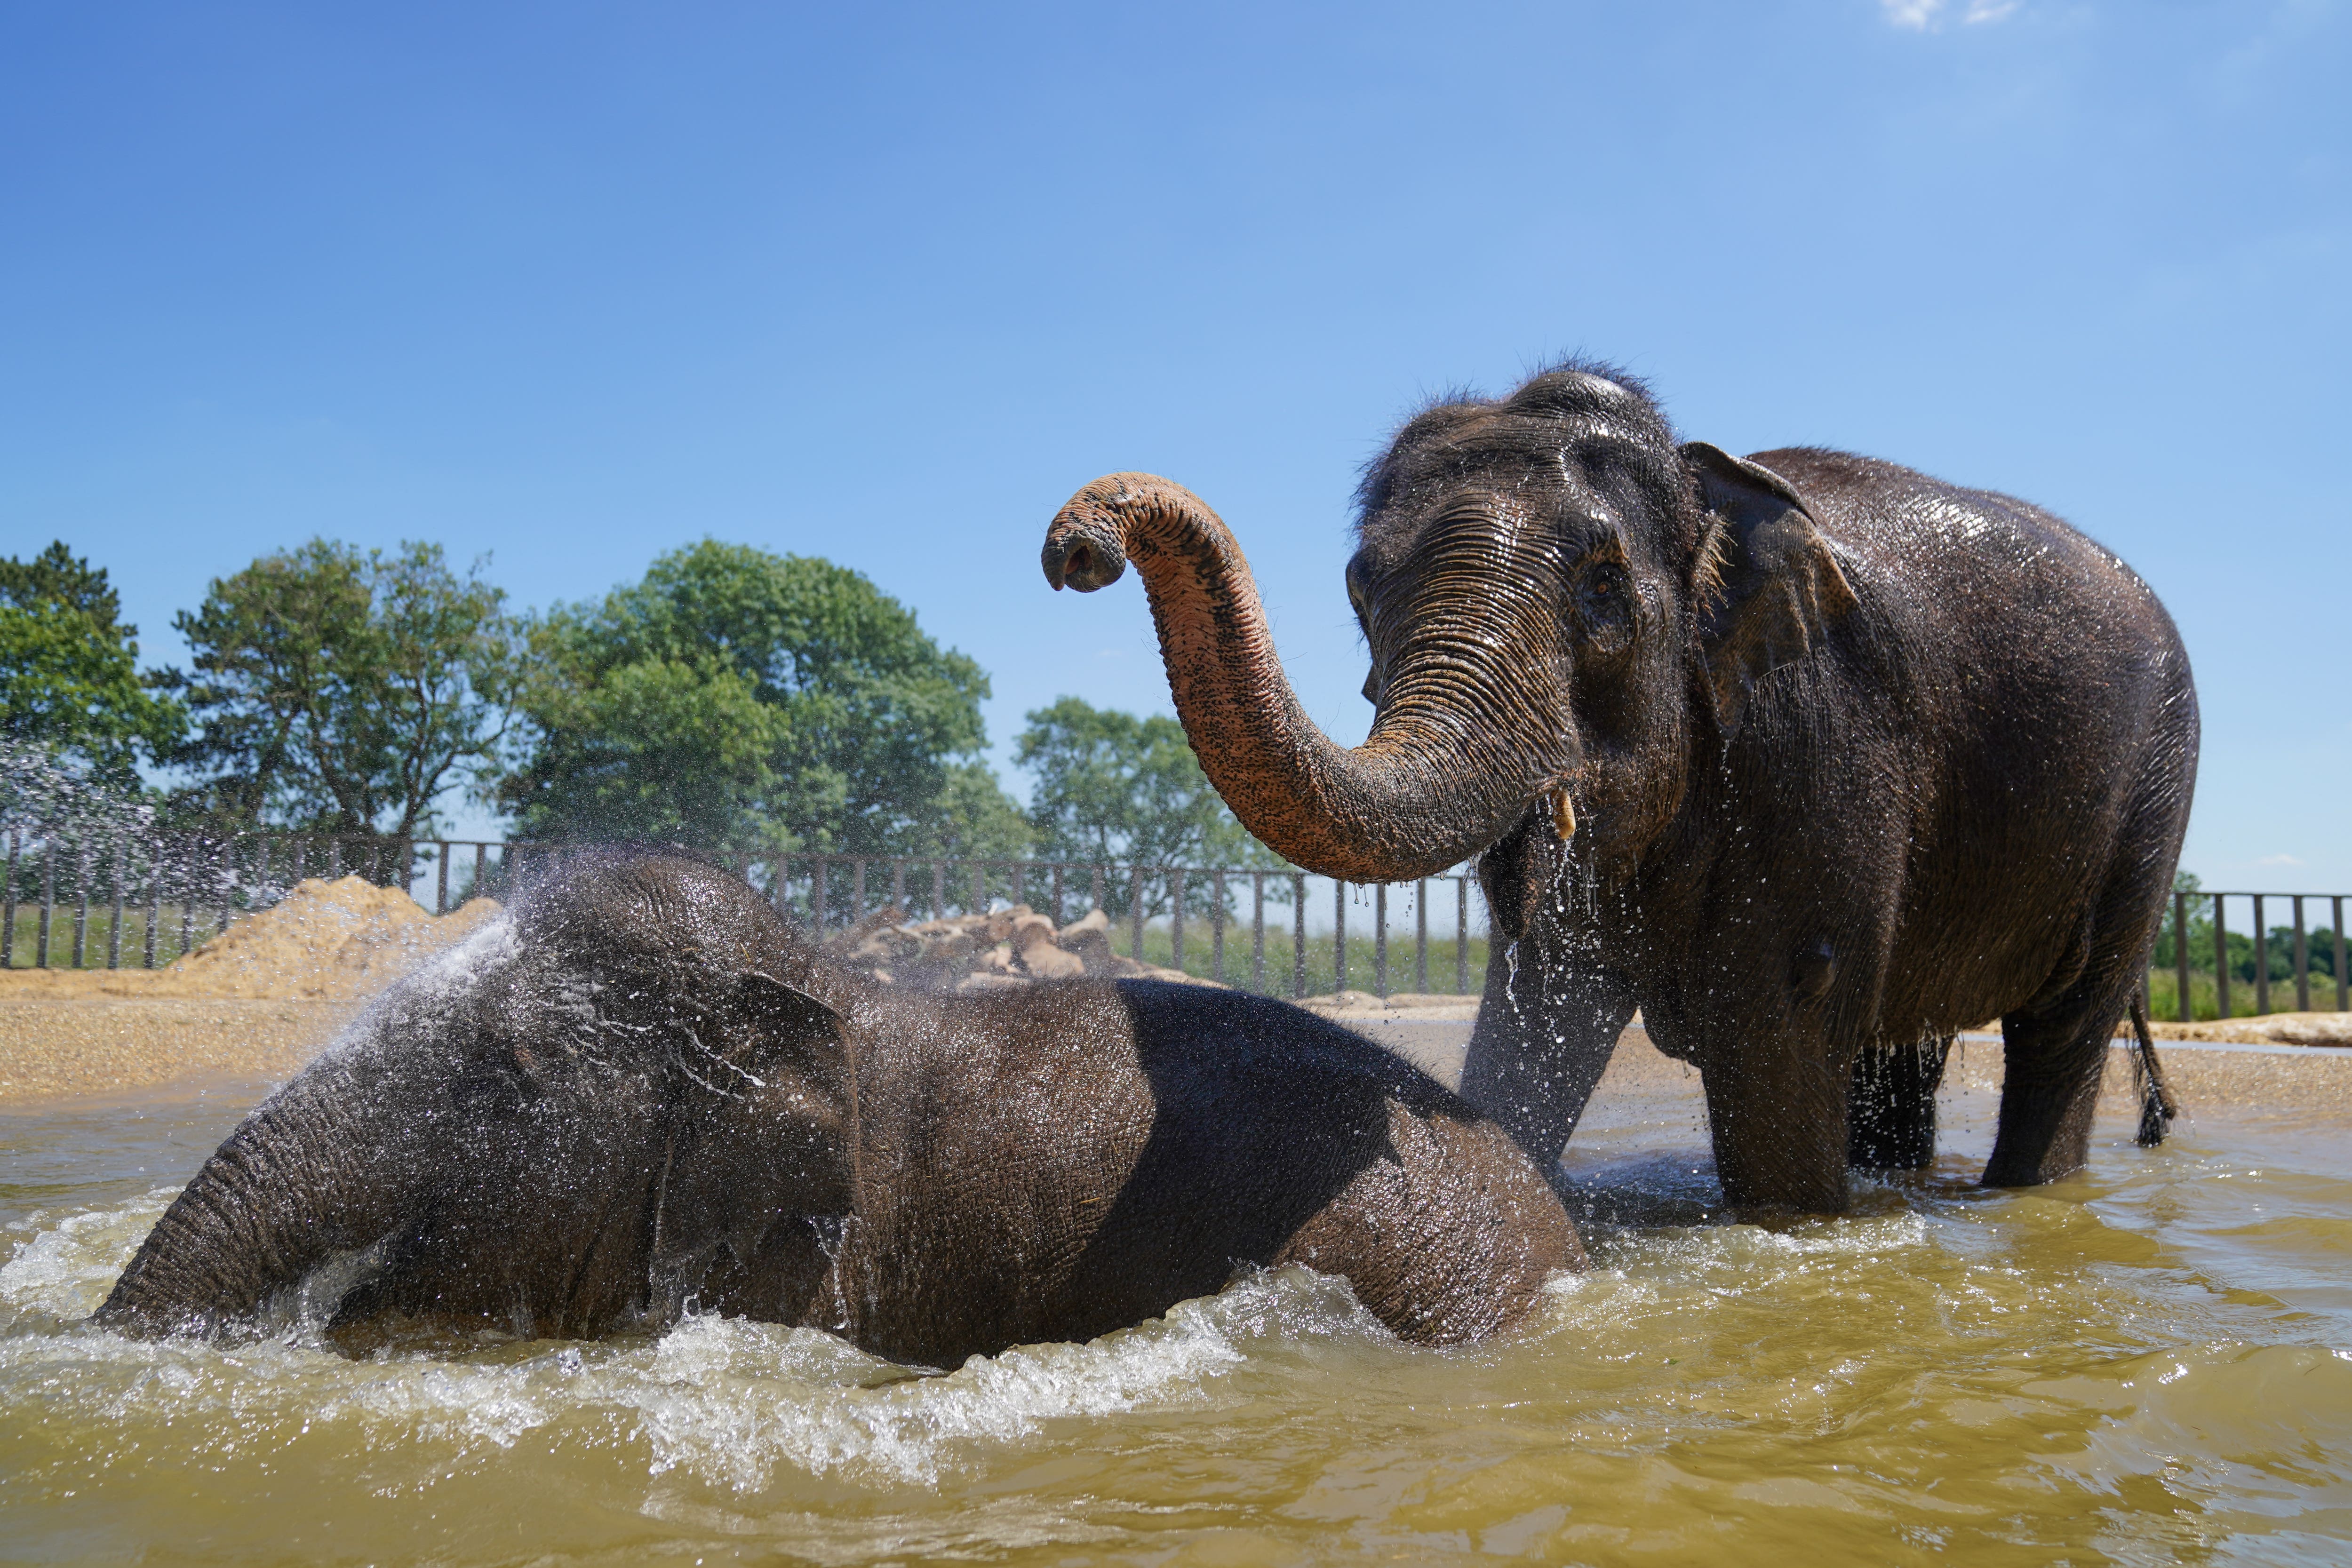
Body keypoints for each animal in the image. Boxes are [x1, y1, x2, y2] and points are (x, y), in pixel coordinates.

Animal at [1039, 359, 2192, 1213]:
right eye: (1362, 587)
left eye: (1602, 587)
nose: (1074, 551)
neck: (1703, 485)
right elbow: (1539, 1012)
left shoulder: (1819, 738)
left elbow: (1781, 1026)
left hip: (2152, 794)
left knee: (2060, 1032)